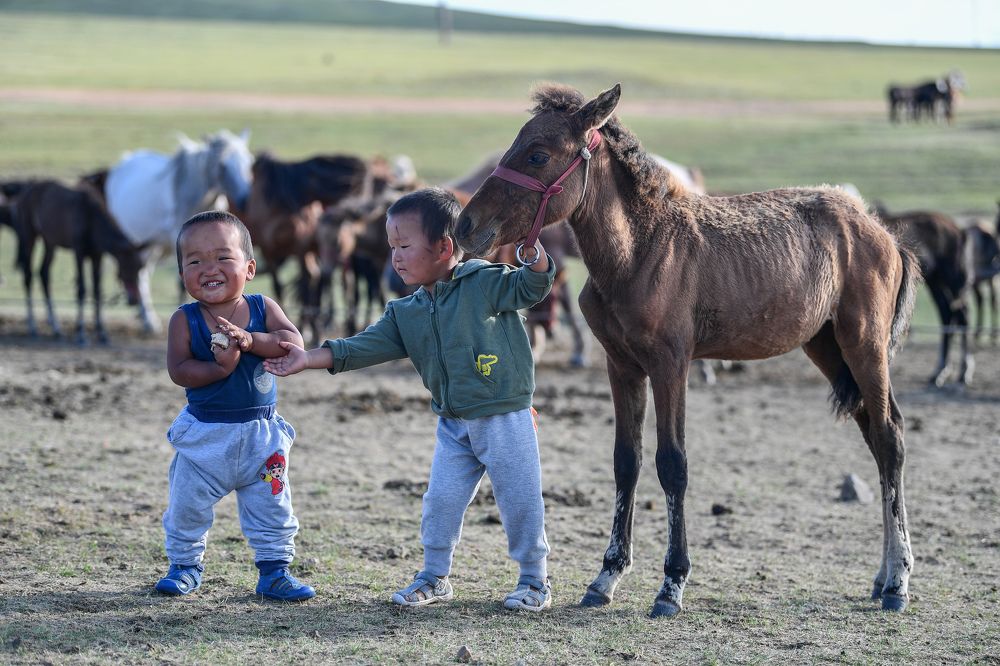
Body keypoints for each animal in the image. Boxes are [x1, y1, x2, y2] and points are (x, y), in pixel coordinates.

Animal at [9, 179, 142, 344]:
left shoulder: (97, 255)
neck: (91, 216)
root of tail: (26, 192)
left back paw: (56, 328)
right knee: (28, 276)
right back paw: (32, 327)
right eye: (127, 267)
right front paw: (81, 333)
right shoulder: (79, 253)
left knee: (43, 274)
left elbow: (97, 290)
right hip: (29, 237)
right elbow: (82, 290)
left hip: (50, 242)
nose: (134, 299)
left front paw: (102, 332)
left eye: (140, 268)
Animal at [105, 129, 254, 333]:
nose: (244, 200)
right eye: (222, 165)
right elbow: (181, 283)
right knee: (140, 276)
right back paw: (148, 319)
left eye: (249, 162)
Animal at [456, 83, 918, 617]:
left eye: (537, 154)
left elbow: (672, 463)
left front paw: (671, 584)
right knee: (874, 436)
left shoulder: (671, 365)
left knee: (889, 437)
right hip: (826, 346)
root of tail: (882, 231)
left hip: (864, 343)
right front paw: (606, 577)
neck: (640, 250)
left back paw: (898, 581)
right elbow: (627, 461)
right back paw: (882, 576)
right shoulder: (622, 366)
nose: (464, 225)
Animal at [876, 205, 974, 386]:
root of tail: (959, 230)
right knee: (947, 314)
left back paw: (964, 372)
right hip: (936, 281)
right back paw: (940, 372)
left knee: (962, 316)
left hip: (952, 279)